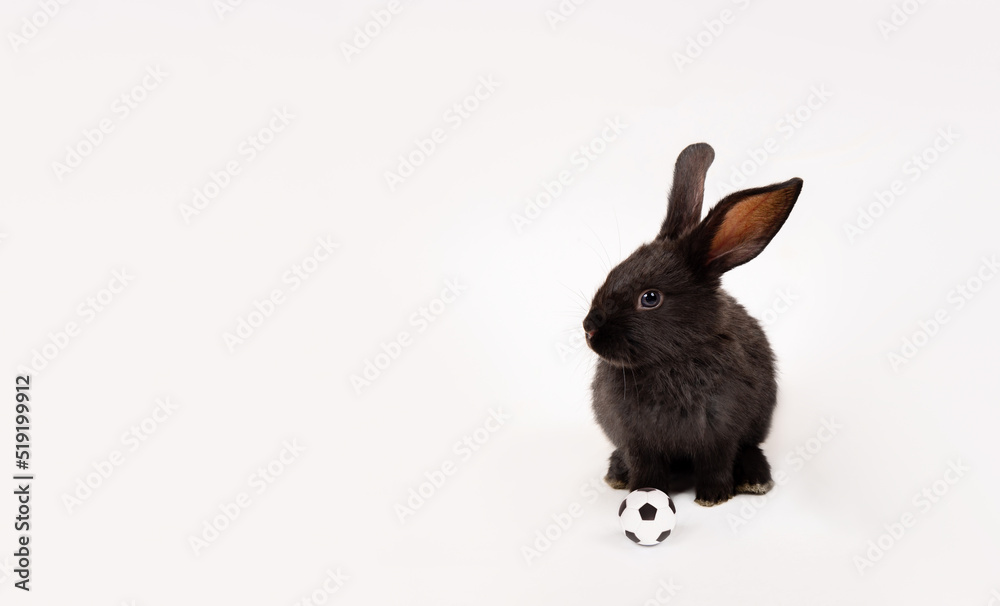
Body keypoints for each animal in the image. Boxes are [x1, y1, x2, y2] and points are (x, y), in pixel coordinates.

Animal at [583, 142, 802, 506]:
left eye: (650, 298)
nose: (589, 328)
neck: (671, 360)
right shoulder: (638, 441)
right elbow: (646, 468)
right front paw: (644, 494)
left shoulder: (720, 433)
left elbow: (717, 462)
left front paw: (713, 498)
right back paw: (616, 474)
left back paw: (755, 481)